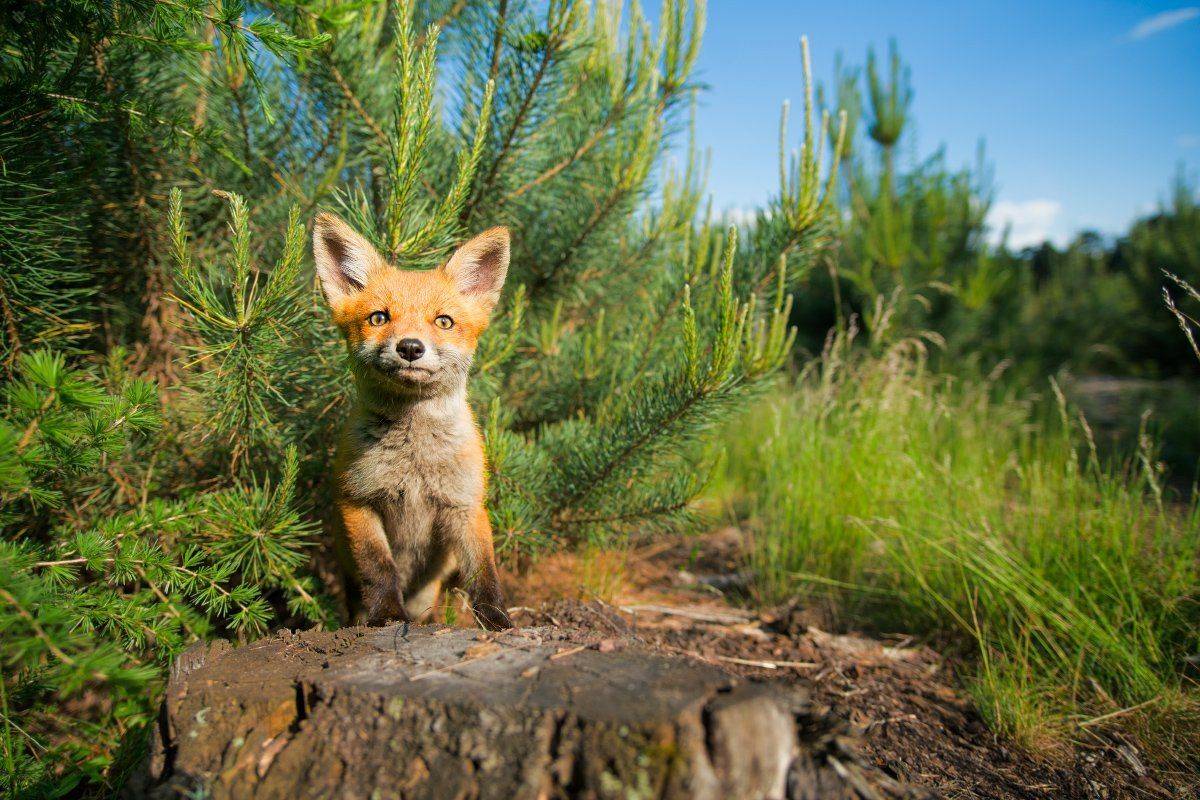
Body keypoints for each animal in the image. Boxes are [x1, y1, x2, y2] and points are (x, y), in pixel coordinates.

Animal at [312, 212, 513, 631]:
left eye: (444, 321)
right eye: (378, 318)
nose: (409, 347)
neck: (414, 457)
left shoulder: (465, 505)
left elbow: (483, 573)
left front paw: (497, 621)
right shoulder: (358, 501)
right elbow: (379, 568)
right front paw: (388, 615)